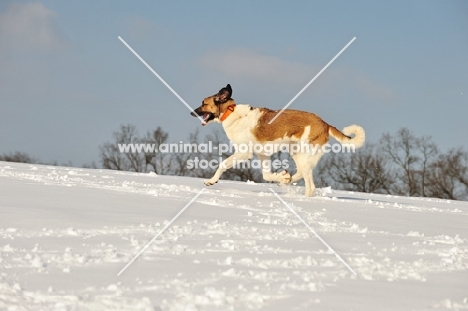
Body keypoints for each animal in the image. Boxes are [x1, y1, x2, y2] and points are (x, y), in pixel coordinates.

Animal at [190, 84, 366, 197]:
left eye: (204, 103)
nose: (191, 113)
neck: (230, 112)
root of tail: (325, 123)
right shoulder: (262, 154)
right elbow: (266, 175)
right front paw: (282, 177)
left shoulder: (244, 153)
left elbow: (222, 165)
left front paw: (211, 181)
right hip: (297, 153)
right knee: (301, 173)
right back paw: (286, 180)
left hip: (303, 154)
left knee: (310, 186)